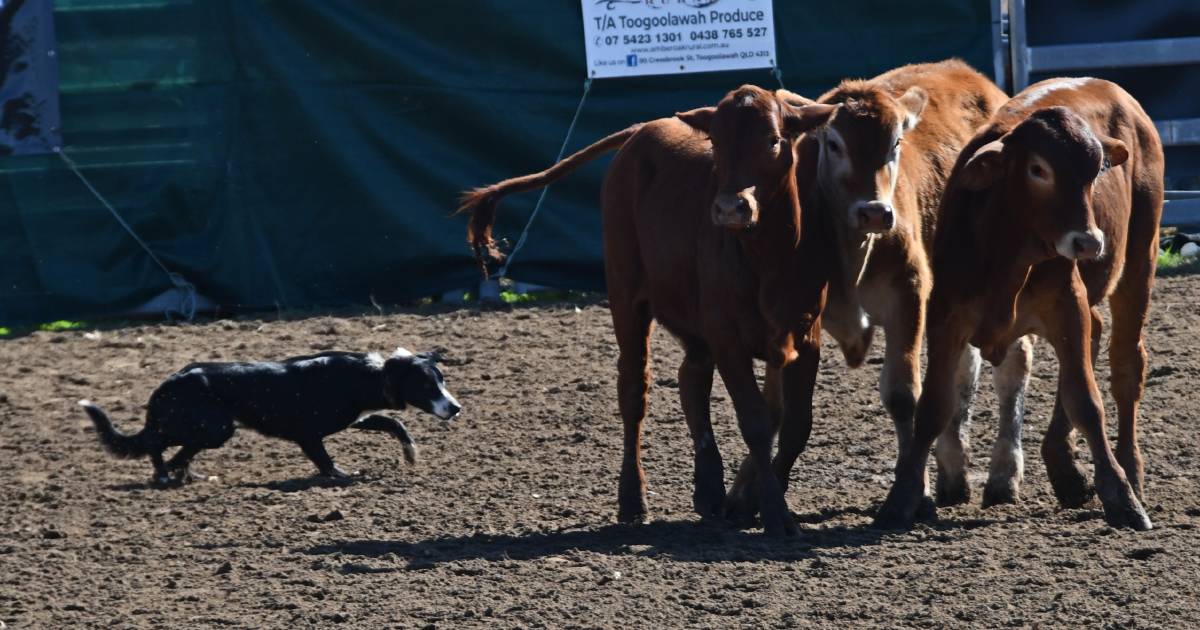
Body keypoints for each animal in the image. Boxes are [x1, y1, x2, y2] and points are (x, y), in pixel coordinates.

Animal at [79, 345, 460, 484]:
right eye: (427, 386)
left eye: (442, 380)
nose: (455, 407)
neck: (368, 376)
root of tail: (169, 382)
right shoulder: (308, 434)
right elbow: (324, 459)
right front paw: (340, 475)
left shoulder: (358, 418)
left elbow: (393, 423)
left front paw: (411, 454)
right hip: (212, 427)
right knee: (158, 443)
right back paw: (163, 474)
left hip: (206, 429)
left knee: (176, 450)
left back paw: (185, 475)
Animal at [453, 85, 840, 532]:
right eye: (717, 141)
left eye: (773, 140)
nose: (730, 208)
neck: (769, 259)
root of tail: (641, 130)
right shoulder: (727, 338)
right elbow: (757, 423)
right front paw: (775, 513)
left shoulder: (806, 338)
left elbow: (796, 426)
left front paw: (754, 502)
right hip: (627, 298)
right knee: (634, 392)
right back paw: (633, 499)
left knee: (691, 378)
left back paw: (708, 489)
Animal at [873, 78, 1161, 530]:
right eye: (1038, 169)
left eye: (1096, 170)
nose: (1088, 242)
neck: (1004, 250)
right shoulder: (946, 319)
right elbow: (933, 408)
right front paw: (901, 499)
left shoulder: (1067, 305)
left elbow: (1086, 400)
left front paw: (1121, 496)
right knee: (1097, 336)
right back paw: (1064, 466)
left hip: (1140, 257)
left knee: (1126, 364)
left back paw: (1129, 469)